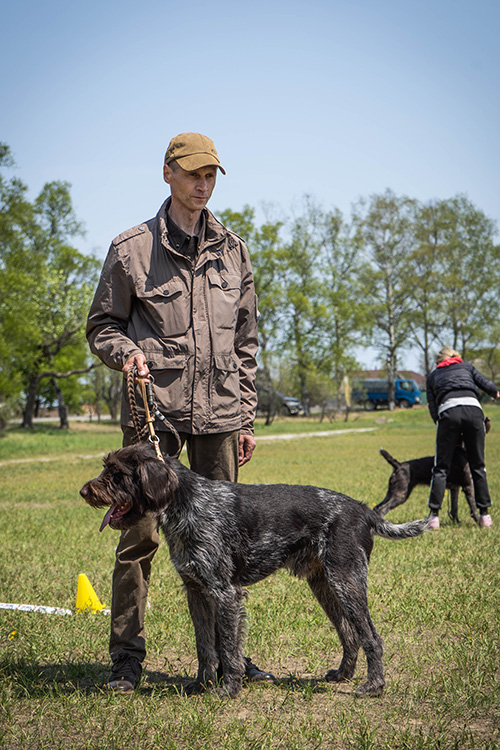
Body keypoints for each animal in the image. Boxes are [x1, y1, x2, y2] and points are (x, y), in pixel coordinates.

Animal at [79, 444, 430, 704]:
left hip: (347, 582)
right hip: (325, 586)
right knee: (349, 632)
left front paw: (229, 688)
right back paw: (343, 674)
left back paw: (374, 686)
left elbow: (228, 647)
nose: (84, 491)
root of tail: (364, 511)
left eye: (117, 474)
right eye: (106, 468)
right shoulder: (196, 592)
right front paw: (201, 685)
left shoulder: (225, 593)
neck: (187, 504)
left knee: (370, 636)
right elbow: (205, 647)